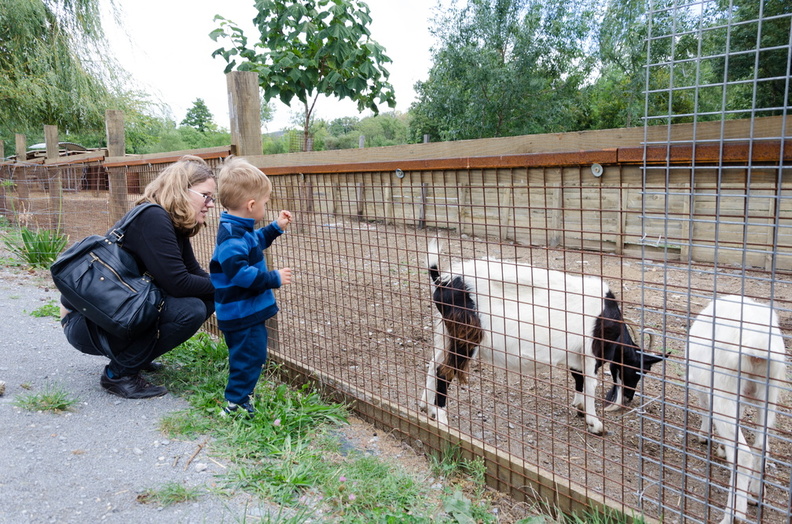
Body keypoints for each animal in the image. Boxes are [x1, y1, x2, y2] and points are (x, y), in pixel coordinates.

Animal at [419, 241, 663, 435]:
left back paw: (426, 407)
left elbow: (578, 378)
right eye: (639, 370)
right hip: (467, 337)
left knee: (432, 364)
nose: (629, 398)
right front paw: (595, 424)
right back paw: (442, 419)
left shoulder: (575, 352)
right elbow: (590, 383)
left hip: (445, 332)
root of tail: (442, 280)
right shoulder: (593, 351)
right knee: (444, 371)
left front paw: (579, 407)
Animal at [686, 295, 786, 524]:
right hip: (770, 391)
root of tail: (759, 344)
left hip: (724, 384)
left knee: (743, 455)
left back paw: (734, 515)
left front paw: (705, 436)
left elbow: (705, 407)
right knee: (761, 446)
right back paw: (756, 494)